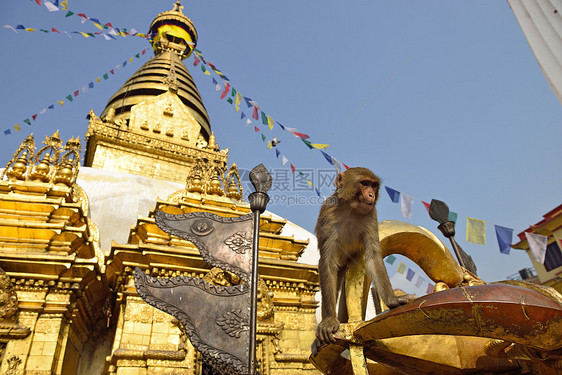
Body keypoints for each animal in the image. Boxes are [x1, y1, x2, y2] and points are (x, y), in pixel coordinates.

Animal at [312, 167, 414, 350]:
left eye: (374, 185)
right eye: (364, 183)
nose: (371, 195)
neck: (351, 210)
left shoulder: (371, 214)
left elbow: (373, 256)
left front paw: (393, 300)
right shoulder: (328, 214)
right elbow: (327, 262)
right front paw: (329, 321)